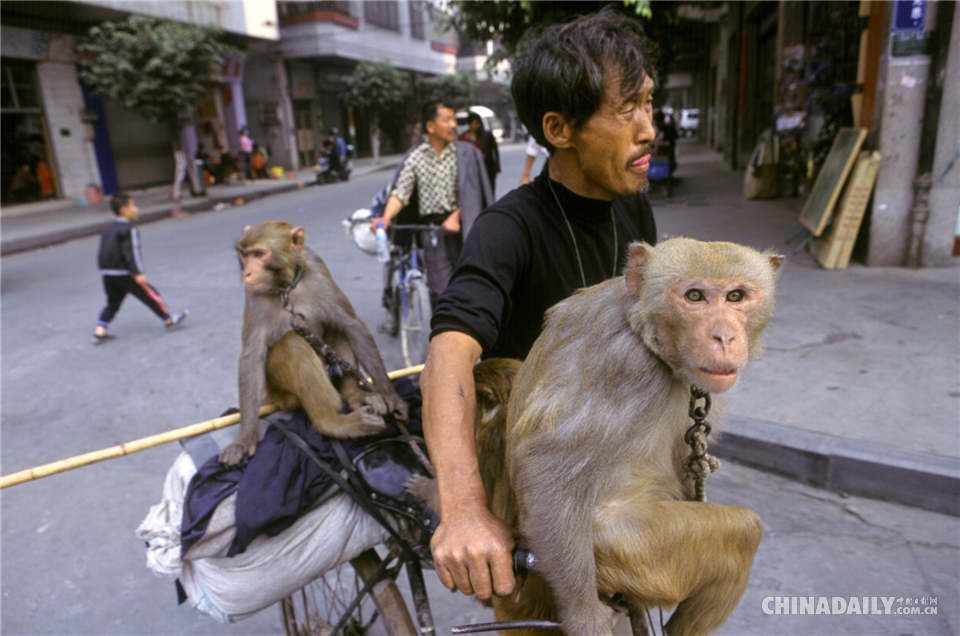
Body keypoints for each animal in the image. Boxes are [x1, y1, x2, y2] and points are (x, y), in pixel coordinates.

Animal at [219, 222, 406, 468]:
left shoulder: (318, 269)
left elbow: (352, 325)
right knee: (292, 344)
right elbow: (251, 357)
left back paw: (354, 396)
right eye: (244, 254)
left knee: (337, 329)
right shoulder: (253, 295)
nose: (247, 273)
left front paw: (391, 396)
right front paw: (243, 441)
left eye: (259, 254)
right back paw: (331, 423)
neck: (287, 287)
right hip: (282, 395)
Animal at [484, 238, 784, 636]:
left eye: (736, 296)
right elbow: (546, 467)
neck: (641, 327)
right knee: (744, 530)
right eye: (694, 296)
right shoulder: (625, 366)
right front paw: (583, 615)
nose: (725, 337)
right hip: (622, 551)